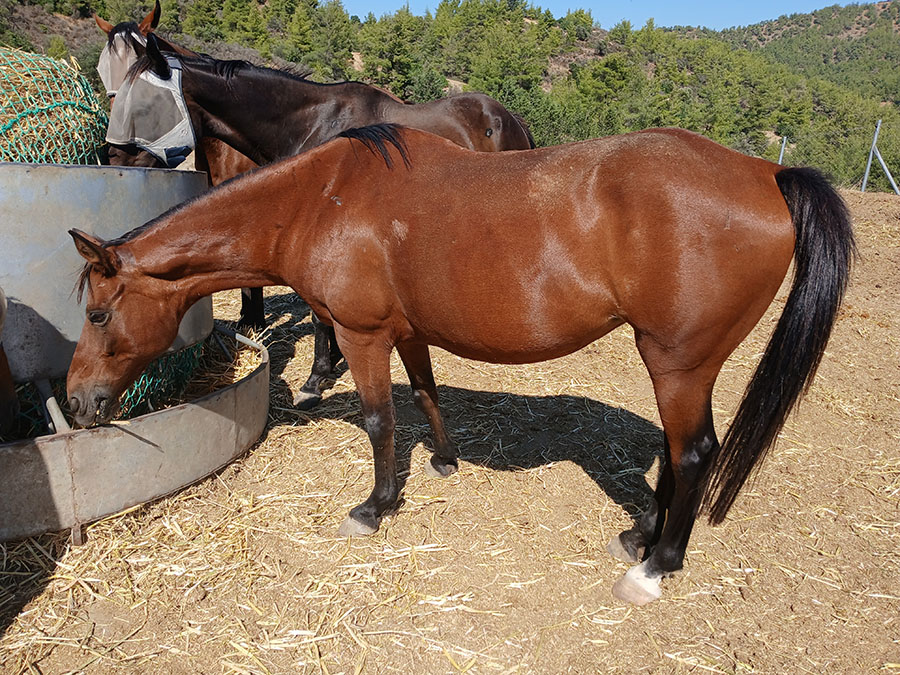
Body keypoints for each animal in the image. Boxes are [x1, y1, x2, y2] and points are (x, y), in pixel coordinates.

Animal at [65, 124, 854, 605]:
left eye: (98, 313)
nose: (77, 403)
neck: (320, 199)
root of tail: (768, 172)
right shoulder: (407, 330)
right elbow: (426, 395)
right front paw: (444, 462)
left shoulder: (360, 334)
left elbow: (380, 419)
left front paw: (376, 506)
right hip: (681, 368)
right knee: (677, 450)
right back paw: (640, 537)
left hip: (678, 363)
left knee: (692, 453)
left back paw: (656, 567)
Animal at [105, 34, 535, 408]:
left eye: (142, 105)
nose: (110, 158)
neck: (312, 124)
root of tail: (511, 117)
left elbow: (316, 316)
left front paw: (316, 378)